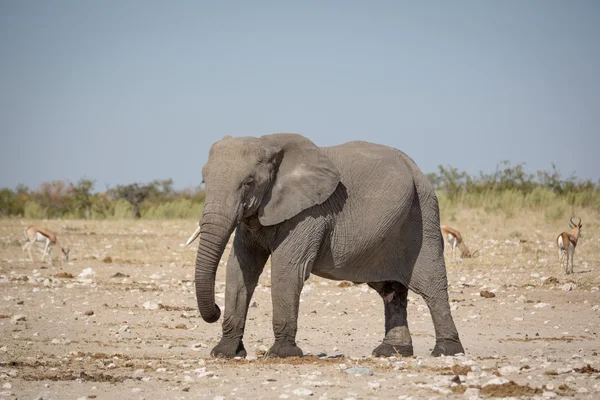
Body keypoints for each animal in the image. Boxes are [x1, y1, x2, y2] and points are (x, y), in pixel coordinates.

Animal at [188, 133, 464, 358]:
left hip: (424, 213)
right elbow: (241, 268)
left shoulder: (310, 212)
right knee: (391, 290)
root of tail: (416, 169)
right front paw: (225, 353)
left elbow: (288, 268)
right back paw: (392, 352)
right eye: (203, 181)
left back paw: (446, 351)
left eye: (248, 182)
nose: (215, 310)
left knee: (431, 284)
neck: (269, 142)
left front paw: (281, 354)